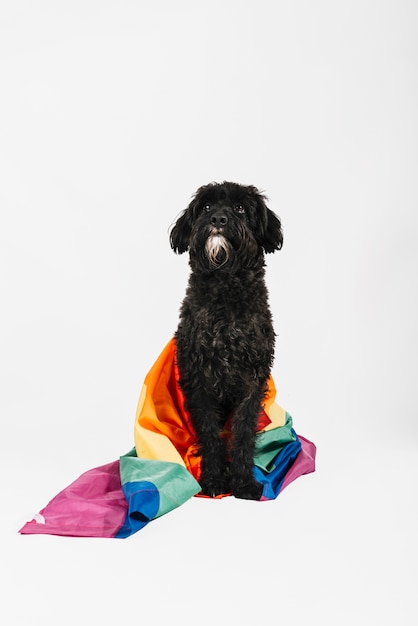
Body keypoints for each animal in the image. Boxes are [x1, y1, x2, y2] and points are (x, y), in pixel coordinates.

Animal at [170, 180, 284, 498]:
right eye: (206, 206)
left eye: (240, 208)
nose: (218, 219)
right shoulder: (199, 381)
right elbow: (210, 434)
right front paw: (214, 480)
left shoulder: (252, 381)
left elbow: (244, 433)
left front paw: (243, 482)